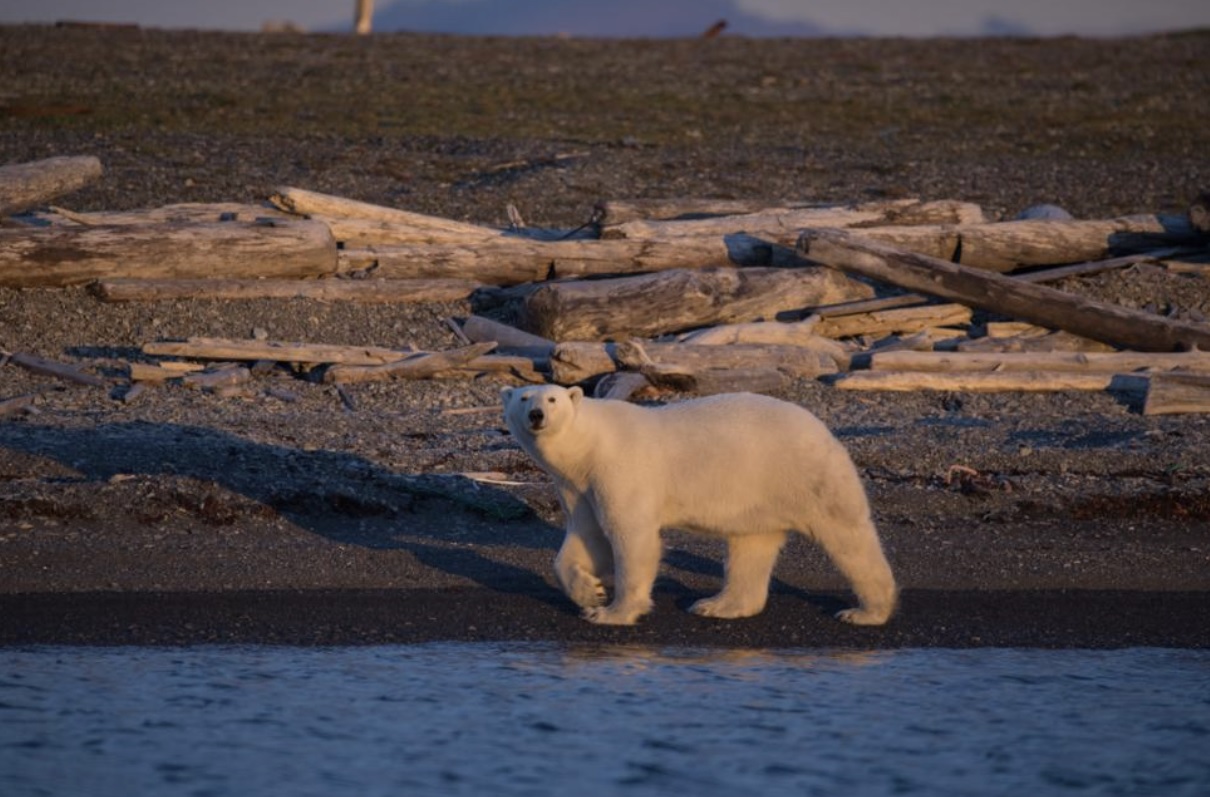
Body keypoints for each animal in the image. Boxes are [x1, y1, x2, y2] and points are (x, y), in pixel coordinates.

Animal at [500, 384, 900, 628]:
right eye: (523, 398)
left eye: (553, 400)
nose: (537, 414)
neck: (589, 445)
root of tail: (824, 430)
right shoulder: (578, 485)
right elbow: (586, 537)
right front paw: (590, 593)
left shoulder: (620, 468)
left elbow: (631, 535)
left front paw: (614, 612)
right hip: (757, 495)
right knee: (750, 548)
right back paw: (718, 605)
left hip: (806, 476)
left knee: (847, 537)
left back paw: (865, 611)